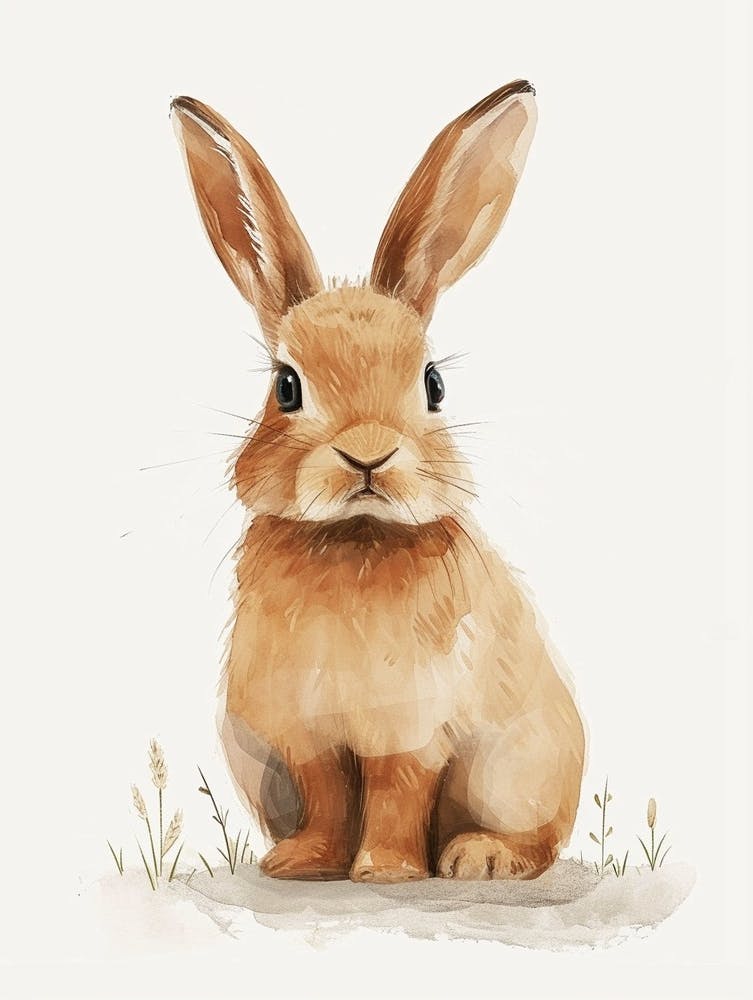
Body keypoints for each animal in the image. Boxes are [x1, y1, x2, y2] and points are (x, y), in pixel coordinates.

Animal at [171, 79, 585, 882]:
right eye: (286, 386)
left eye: (433, 385)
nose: (367, 455)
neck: (353, 539)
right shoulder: (307, 735)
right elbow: (330, 796)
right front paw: (304, 864)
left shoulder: (412, 730)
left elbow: (397, 793)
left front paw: (388, 871)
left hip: (522, 771)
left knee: (539, 841)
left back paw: (478, 858)